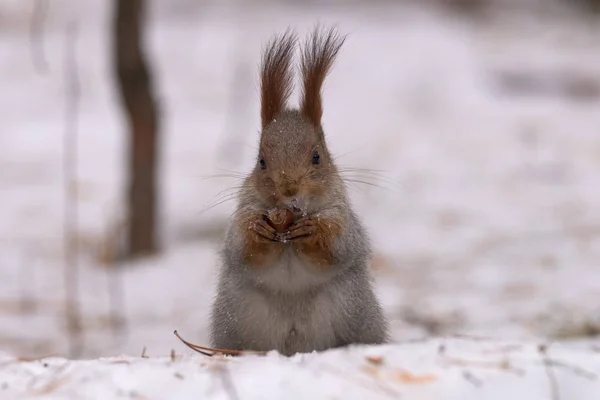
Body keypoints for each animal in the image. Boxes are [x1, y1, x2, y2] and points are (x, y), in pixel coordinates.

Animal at [211, 26, 390, 354]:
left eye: (317, 156)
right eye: (261, 161)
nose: (289, 188)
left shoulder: (342, 217)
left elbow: (337, 247)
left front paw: (312, 229)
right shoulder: (243, 213)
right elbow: (242, 248)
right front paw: (258, 229)